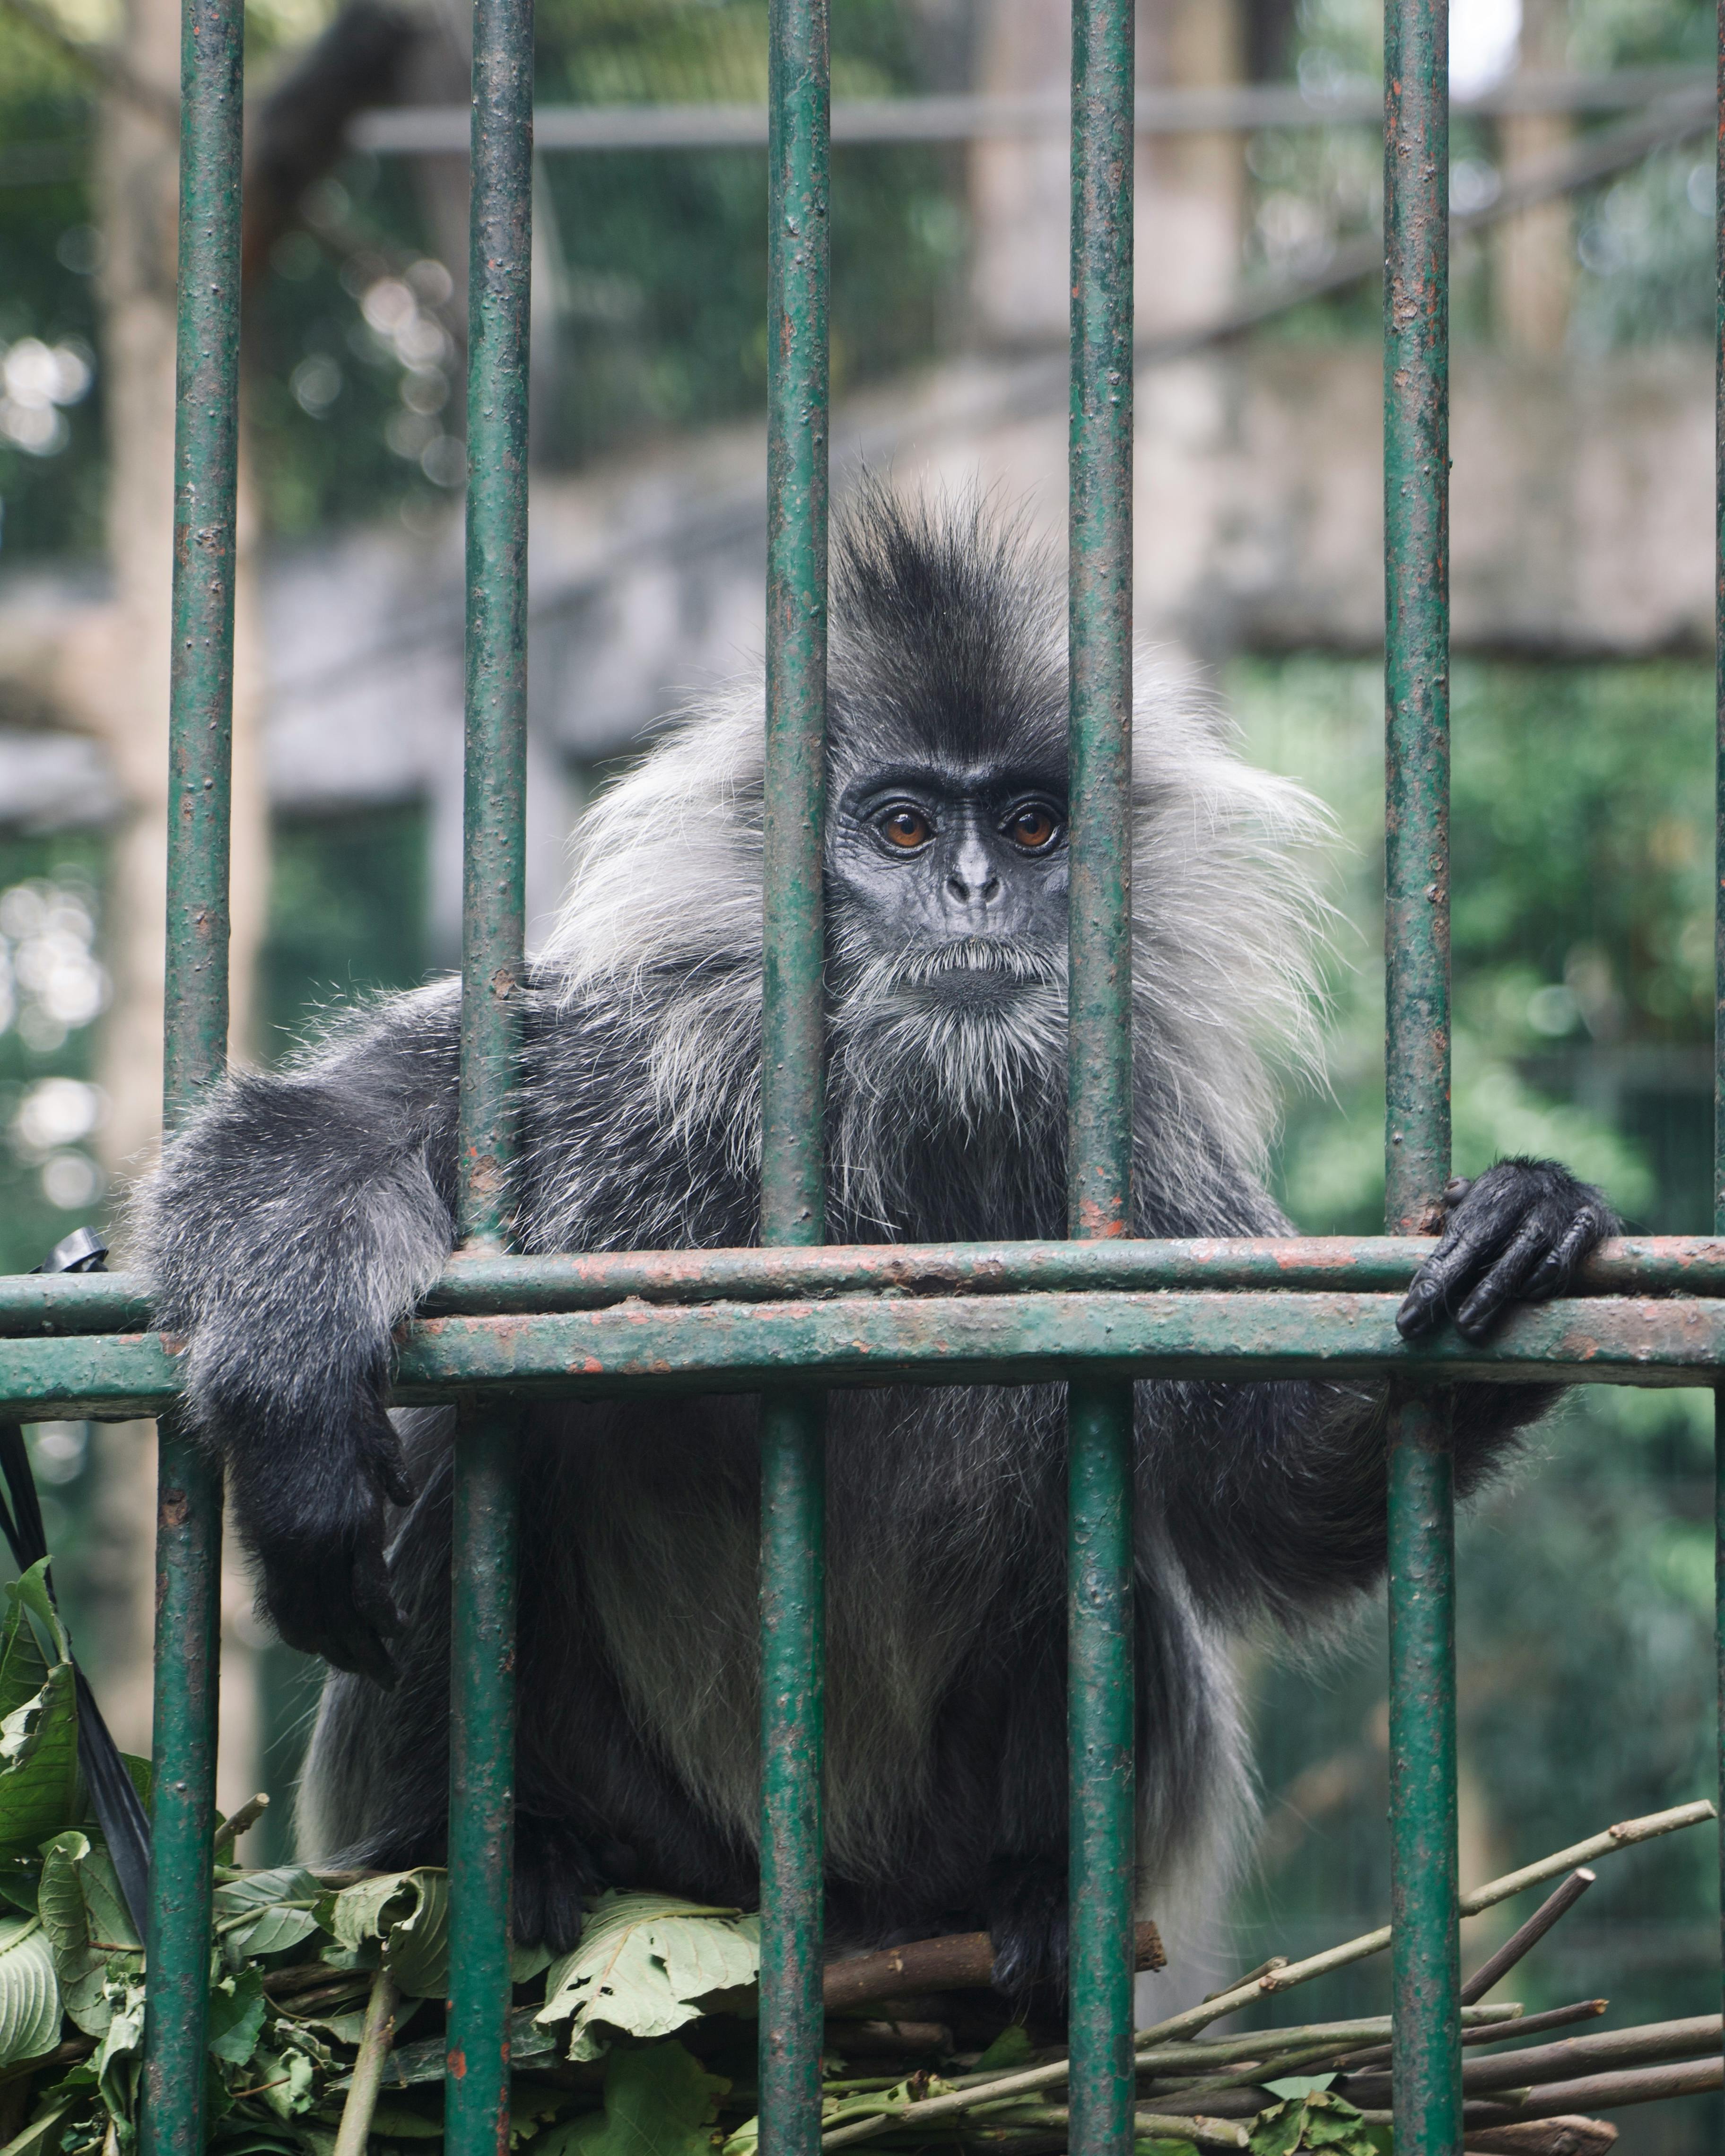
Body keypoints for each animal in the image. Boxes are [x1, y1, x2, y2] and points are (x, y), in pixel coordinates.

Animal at [138, 489, 1621, 1983]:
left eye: (1030, 829)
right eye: (904, 830)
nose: (973, 893)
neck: (913, 1122)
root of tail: (826, 1909)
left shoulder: (1149, 1165)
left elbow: (1257, 1498)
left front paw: (1528, 1220)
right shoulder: (600, 1057)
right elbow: (304, 1136)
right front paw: (293, 1407)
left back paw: (1040, 1896)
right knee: (473, 1478)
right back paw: (516, 1855)